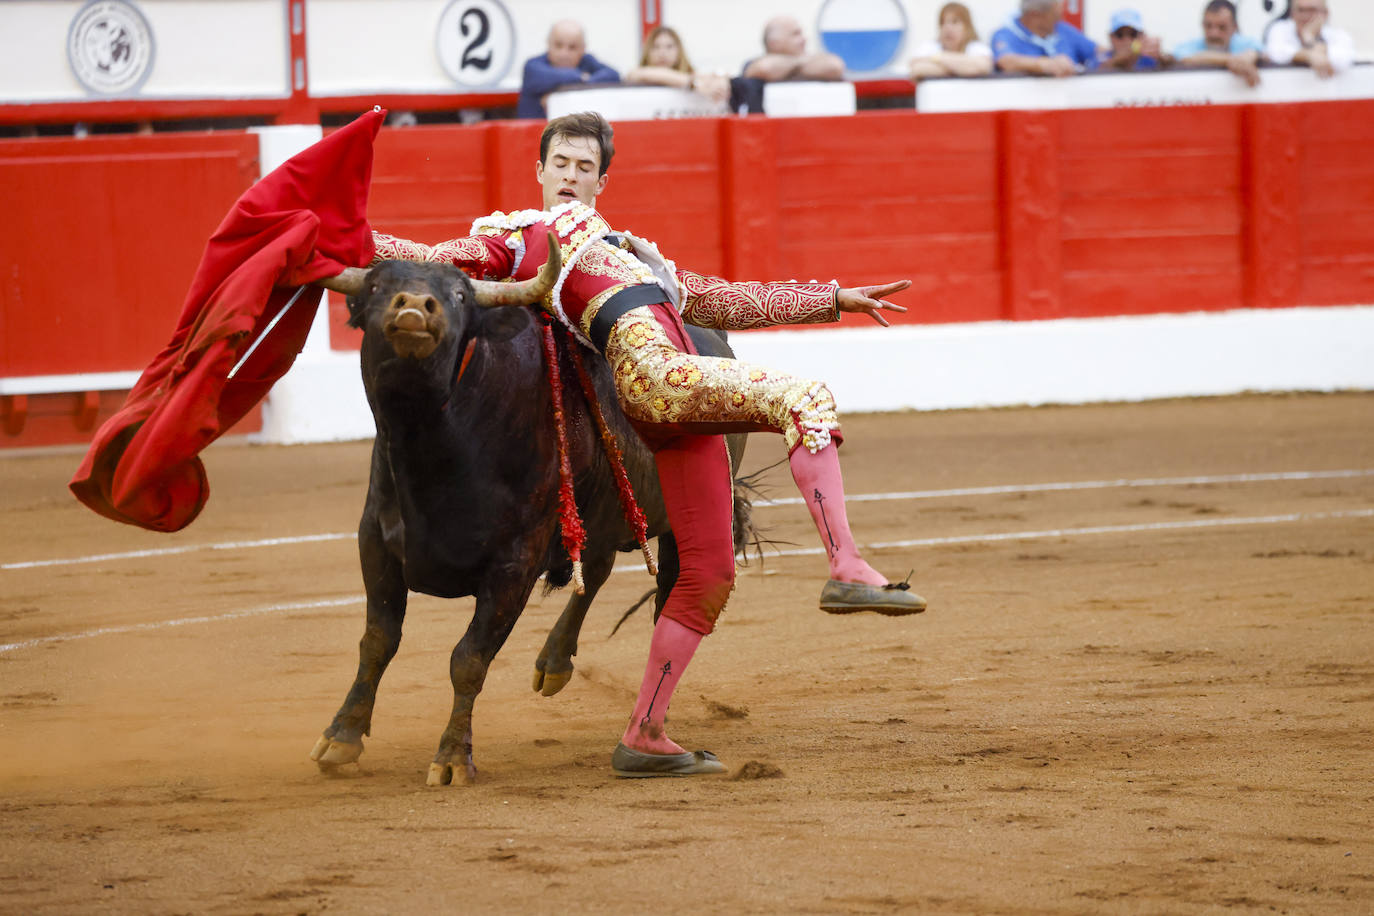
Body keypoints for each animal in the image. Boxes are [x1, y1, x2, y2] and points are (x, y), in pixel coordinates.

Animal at [309, 240, 752, 785]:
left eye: (460, 294)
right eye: (376, 286)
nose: (413, 306)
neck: (434, 444)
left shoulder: (513, 565)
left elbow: (469, 658)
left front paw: (453, 758)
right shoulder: (376, 543)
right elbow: (377, 641)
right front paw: (342, 736)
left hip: (678, 519)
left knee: (672, 592)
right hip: (599, 511)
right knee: (598, 569)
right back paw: (556, 663)